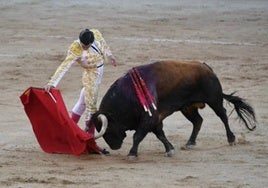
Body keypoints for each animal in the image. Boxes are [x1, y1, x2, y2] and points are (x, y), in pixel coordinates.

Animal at [89, 60, 256, 159]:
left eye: (108, 128)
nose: (114, 146)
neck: (128, 95)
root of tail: (206, 67)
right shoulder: (154, 120)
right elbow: (160, 135)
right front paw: (170, 149)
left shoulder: (149, 118)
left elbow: (138, 136)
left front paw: (132, 154)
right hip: (188, 107)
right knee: (198, 121)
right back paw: (190, 143)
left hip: (214, 99)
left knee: (223, 116)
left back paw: (231, 139)